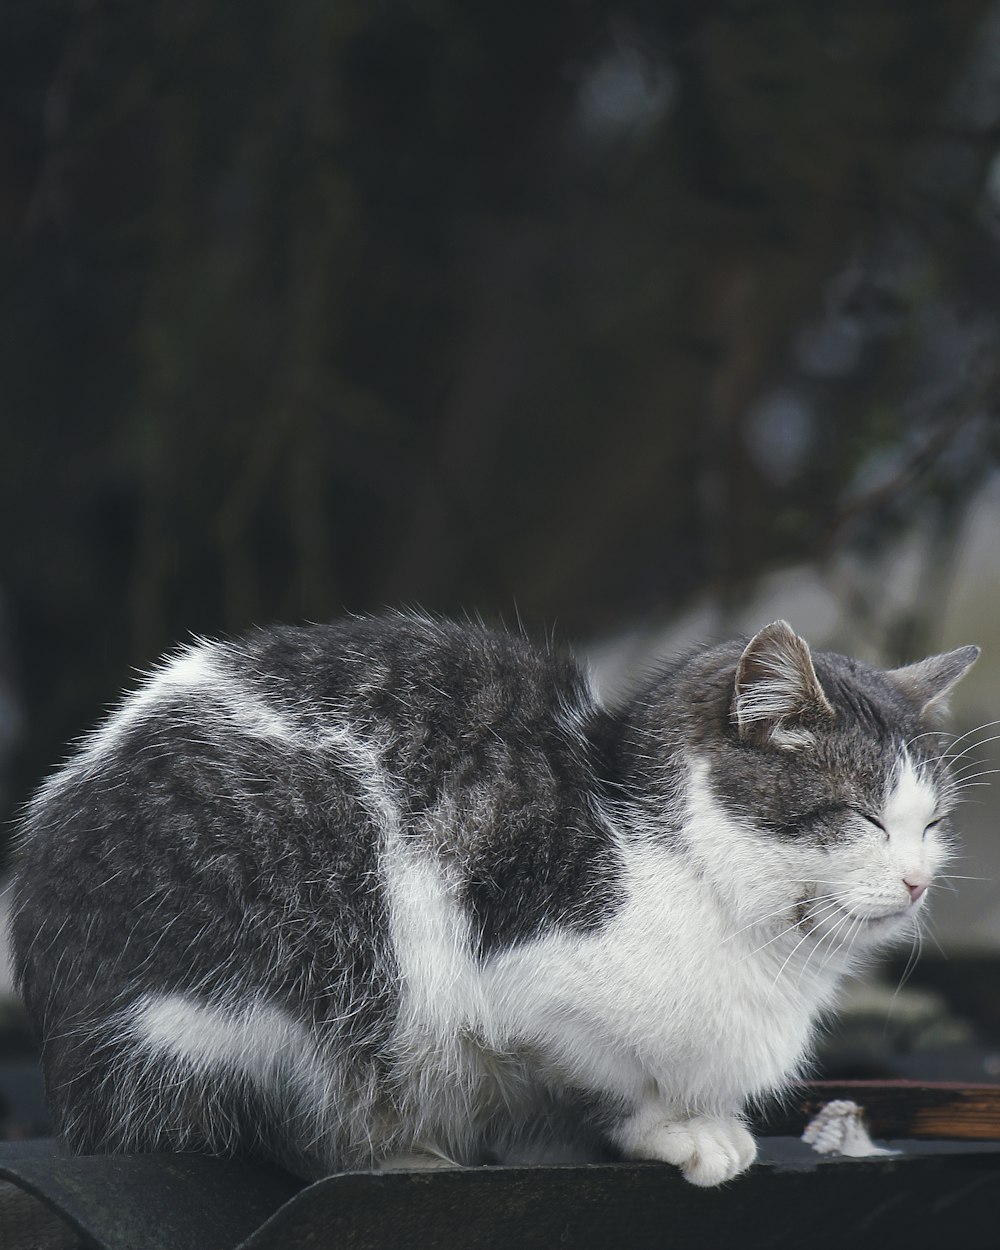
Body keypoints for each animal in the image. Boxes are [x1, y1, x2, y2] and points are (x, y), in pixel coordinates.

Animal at [7, 620, 975, 1185]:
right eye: (860, 817)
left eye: (931, 823)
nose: (918, 881)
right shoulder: (528, 989)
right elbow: (604, 1077)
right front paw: (677, 1129)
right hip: (285, 973)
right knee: (259, 1117)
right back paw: (395, 1153)